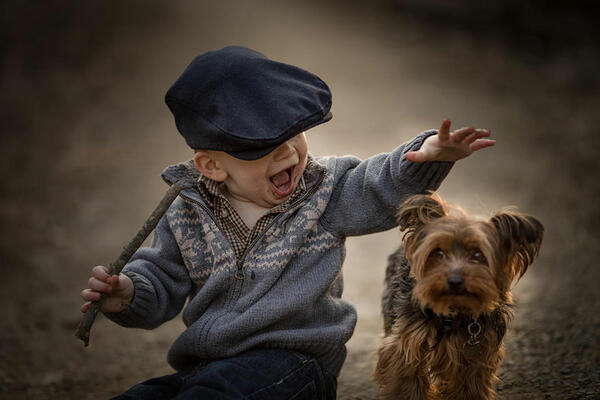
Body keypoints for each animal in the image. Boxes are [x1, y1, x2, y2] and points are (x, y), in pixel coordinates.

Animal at [372, 192, 540, 398]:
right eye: (438, 252)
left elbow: (470, 387)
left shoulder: (478, 353)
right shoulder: (406, 345)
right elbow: (408, 381)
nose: (454, 281)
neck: (455, 311)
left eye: (478, 255)